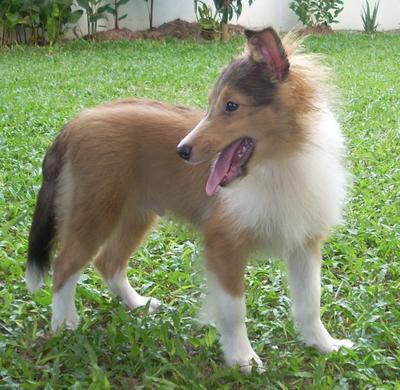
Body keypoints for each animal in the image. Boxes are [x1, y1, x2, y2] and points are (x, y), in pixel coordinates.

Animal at [26, 25, 354, 374]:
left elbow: (310, 303)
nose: (181, 151)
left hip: (136, 215)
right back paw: (64, 324)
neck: (278, 163)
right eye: (213, 103)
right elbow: (234, 310)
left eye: (231, 106)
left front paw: (324, 345)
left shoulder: (305, 243)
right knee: (64, 266)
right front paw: (242, 358)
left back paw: (137, 304)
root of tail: (74, 124)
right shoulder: (224, 243)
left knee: (108, 262)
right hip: (93, 212)